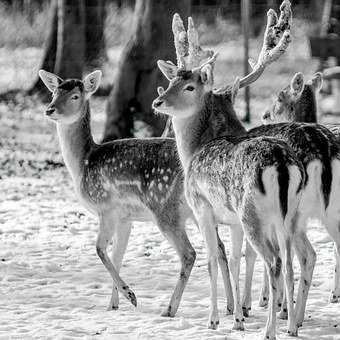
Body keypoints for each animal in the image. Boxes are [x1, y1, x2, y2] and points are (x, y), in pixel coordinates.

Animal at [37, 68, 238, 318]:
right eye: (54, 92)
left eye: (75, 96)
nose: (50, 109)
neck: (83, 164)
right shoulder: (126, 217)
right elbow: (117, 255)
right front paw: (113, 305)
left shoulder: (107, 208)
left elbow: (99, 249)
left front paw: (130, 295)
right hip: (198, 212)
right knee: (219, 248)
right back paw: (230, 306)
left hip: (165, 208)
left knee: (189, 253)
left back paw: (170, 309)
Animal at [153, 3, 306, 340]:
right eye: (170, 81)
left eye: (189, 86)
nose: (158, 101)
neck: (193, 150)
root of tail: (282, 163)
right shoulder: (232, 220)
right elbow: (234, 259)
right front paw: (237, 317)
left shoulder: (202, 208)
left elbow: (213, 260)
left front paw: (214, 320)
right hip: (289, 216)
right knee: (291, 261)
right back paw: (290, 325)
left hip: (252, 213)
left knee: (274, 261)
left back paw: (270, 330)